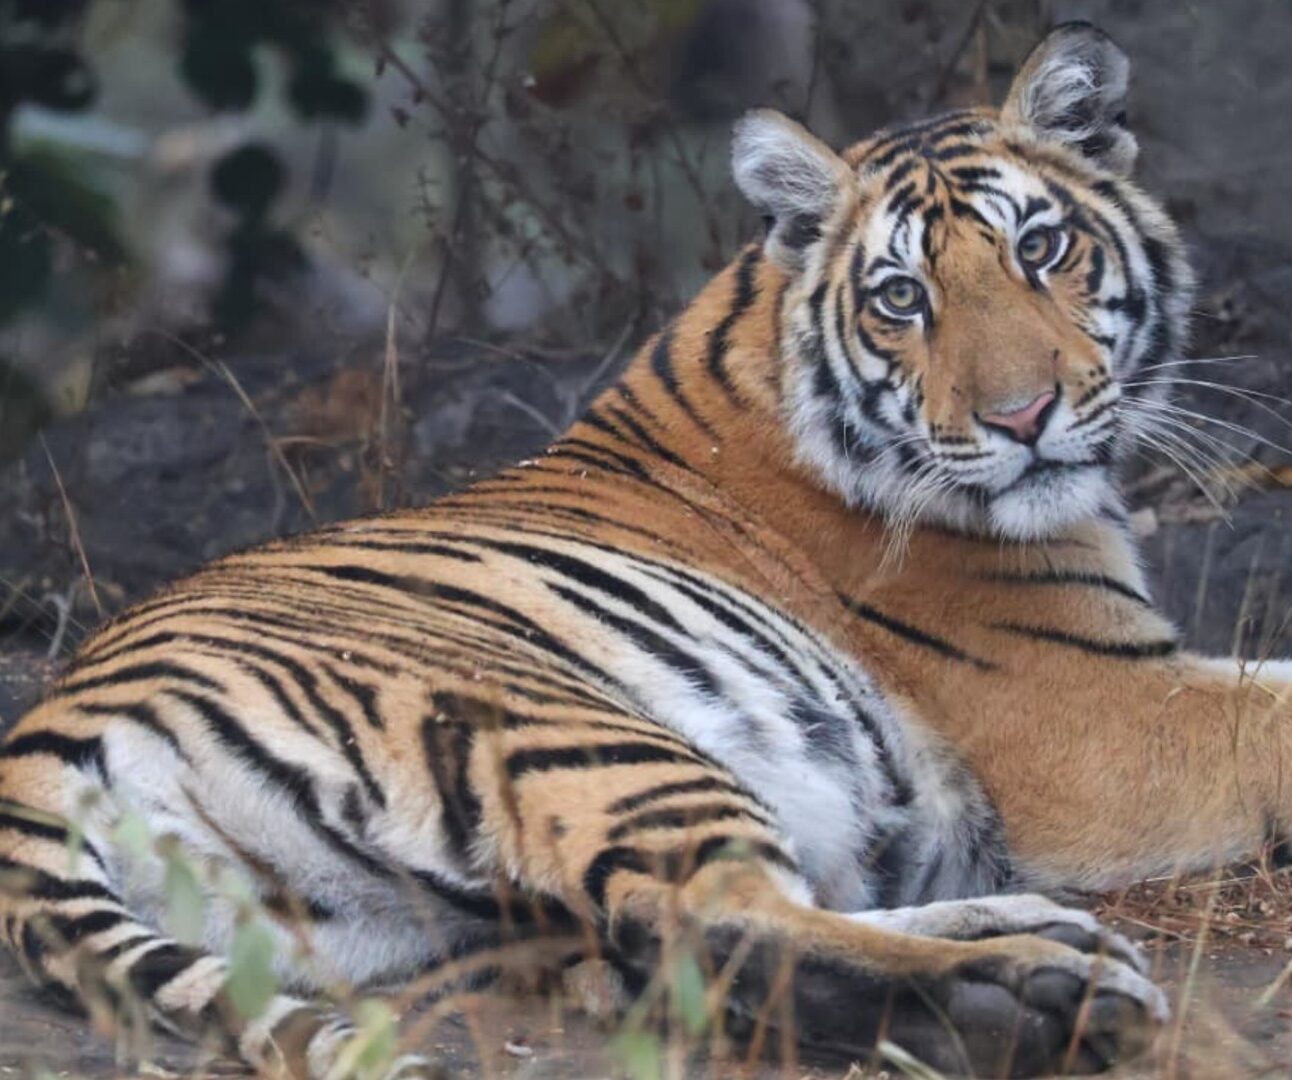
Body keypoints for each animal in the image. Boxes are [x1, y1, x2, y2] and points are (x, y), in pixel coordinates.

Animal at [2, 20, 1288, 1079]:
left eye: (1039, 249)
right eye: (899, 298)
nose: (1022, 418)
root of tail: (41, 747)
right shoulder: (1097, 713)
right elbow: (1273, 712)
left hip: (386, 927)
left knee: (650, 958)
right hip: (576, 723)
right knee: (707, 924)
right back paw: (1028, 994)